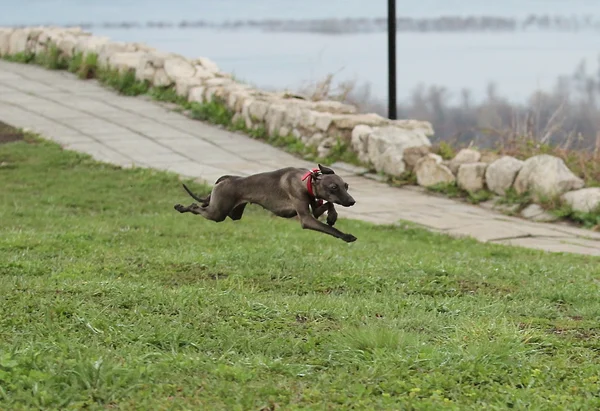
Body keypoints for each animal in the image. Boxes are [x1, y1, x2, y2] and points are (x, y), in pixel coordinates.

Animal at [176, 163, 358, 241]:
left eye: (346, 186)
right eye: (334, 187)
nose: (352, 201)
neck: (306, 180)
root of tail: (225, 179)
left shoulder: (314, 206)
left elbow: (329, 205)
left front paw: (332, 217)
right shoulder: (306, 218)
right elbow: (329, 228)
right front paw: (346, 236)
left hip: (231, 212)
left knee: (204, 205)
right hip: (217, 213)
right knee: (195, 207)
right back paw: (181, 207)